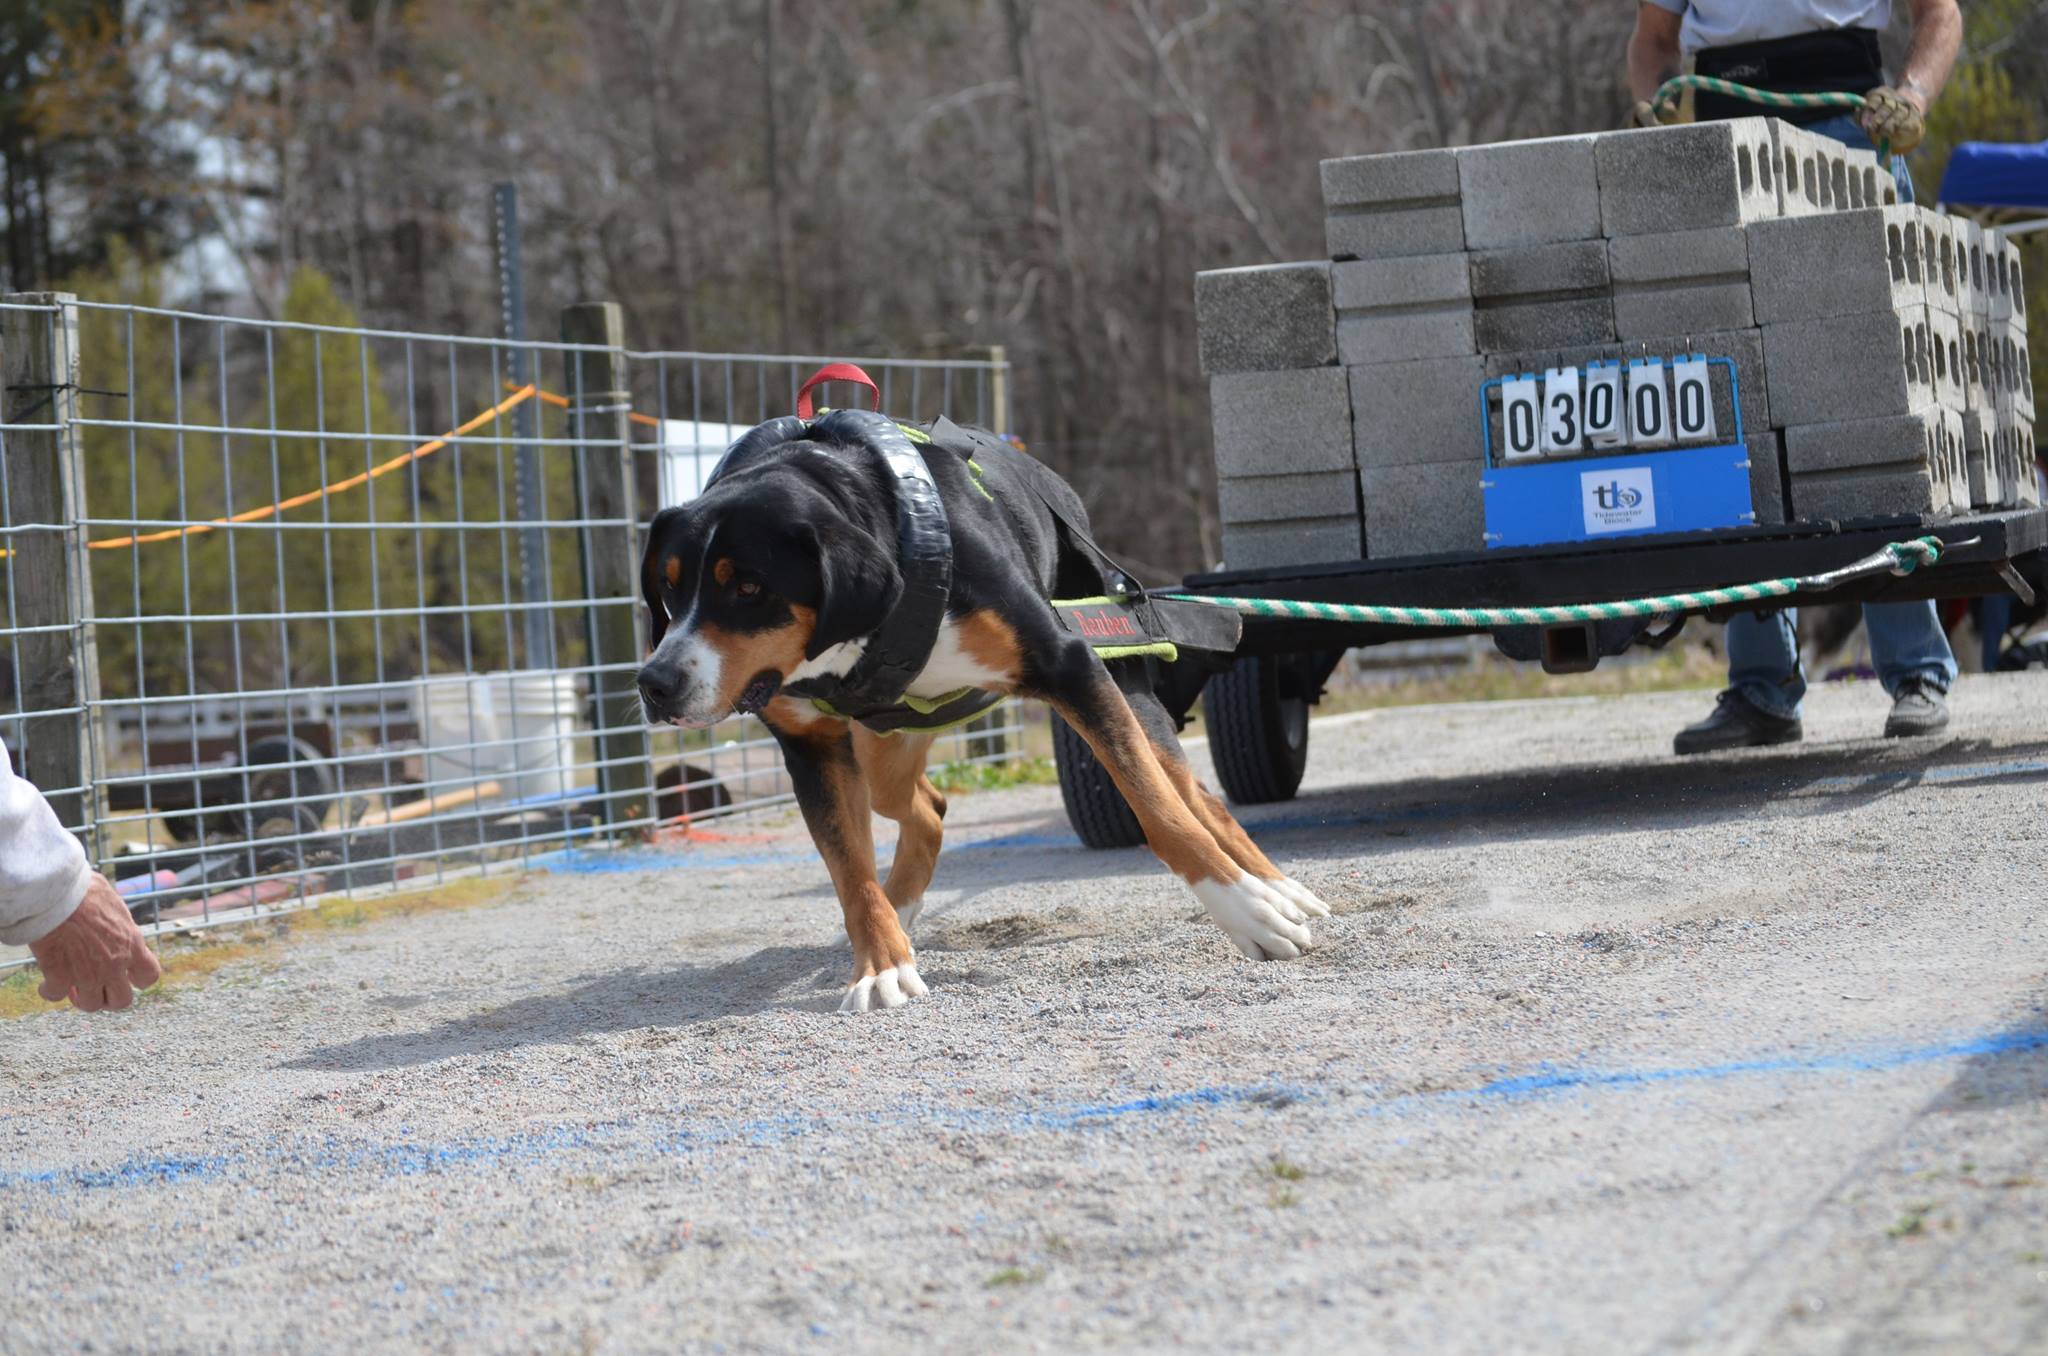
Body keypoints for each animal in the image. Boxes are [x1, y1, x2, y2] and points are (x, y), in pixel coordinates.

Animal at [630, 387, 1327, 1015]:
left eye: (749, 587)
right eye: (668, 588)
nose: (654, 683)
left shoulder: (1071, 668)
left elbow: (1162, 815)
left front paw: (1248, 914)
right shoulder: (812, 748)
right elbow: (851, 875)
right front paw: (880, 965)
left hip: (1124, 686)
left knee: (1194, 793)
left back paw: (1277, 890)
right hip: (878, 753)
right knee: (928, 810)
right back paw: (900, 913)